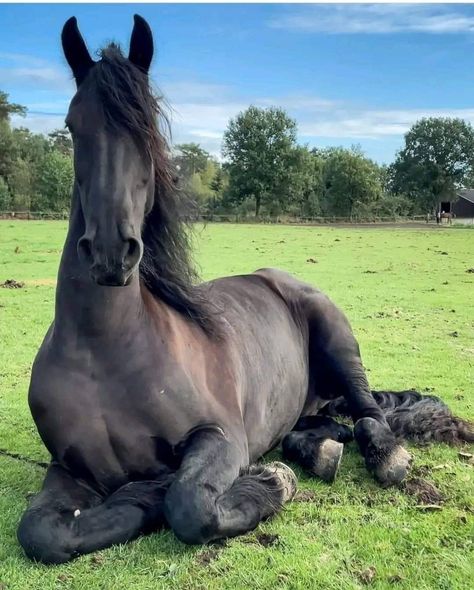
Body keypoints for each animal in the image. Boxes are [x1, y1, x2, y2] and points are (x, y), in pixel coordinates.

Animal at [16, 16, 472, 568]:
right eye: (71, 126)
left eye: (148, 129)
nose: (109, 252)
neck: (106, 352)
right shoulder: (66, 468)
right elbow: (43, 533)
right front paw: (142, 496)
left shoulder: (222, 438)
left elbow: (189, 503)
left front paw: (270, 484)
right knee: (320, 426)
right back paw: (319, 450)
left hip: (339, 343)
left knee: (369, 413)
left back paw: (382, 456)